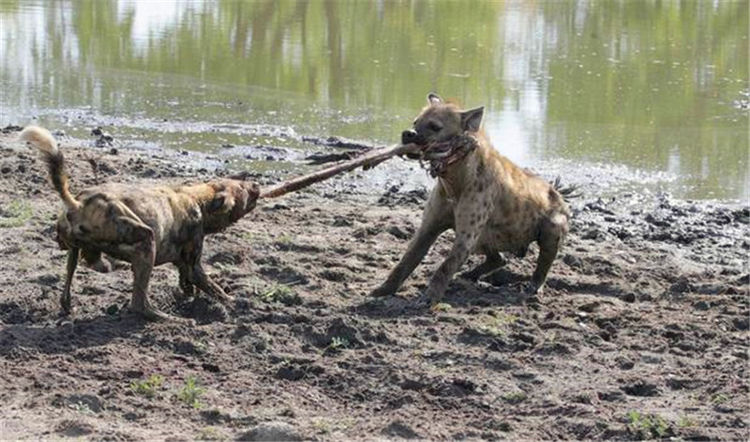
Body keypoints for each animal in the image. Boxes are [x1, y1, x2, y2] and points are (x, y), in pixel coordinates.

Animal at [20, 126, 262, 320]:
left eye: (242, 183)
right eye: (243, 190)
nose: (257, 185)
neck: (198, 201)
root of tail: (78, 204)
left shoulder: (184, 264)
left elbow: (188, 284)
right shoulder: (194, 264)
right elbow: (213, 287)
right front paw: (235, 303)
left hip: (75, 249)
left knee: (72, 276)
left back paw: (75, 298)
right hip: (146, 242)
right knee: (138, 303)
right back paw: (162, 317)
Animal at [374, 94, 572, 306]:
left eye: (435, 126)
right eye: (415, 122)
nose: (408, 133)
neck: (454, 182)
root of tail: (560, 196)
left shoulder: (466, 235)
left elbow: (446, 266)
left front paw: (429, 298)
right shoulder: (430, 226)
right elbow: (407, 259)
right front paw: (381, 291)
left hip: (552, 225)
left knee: (544, 260)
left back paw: (534, 286)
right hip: (485, 237)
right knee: (499, 259)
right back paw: (469, 275)